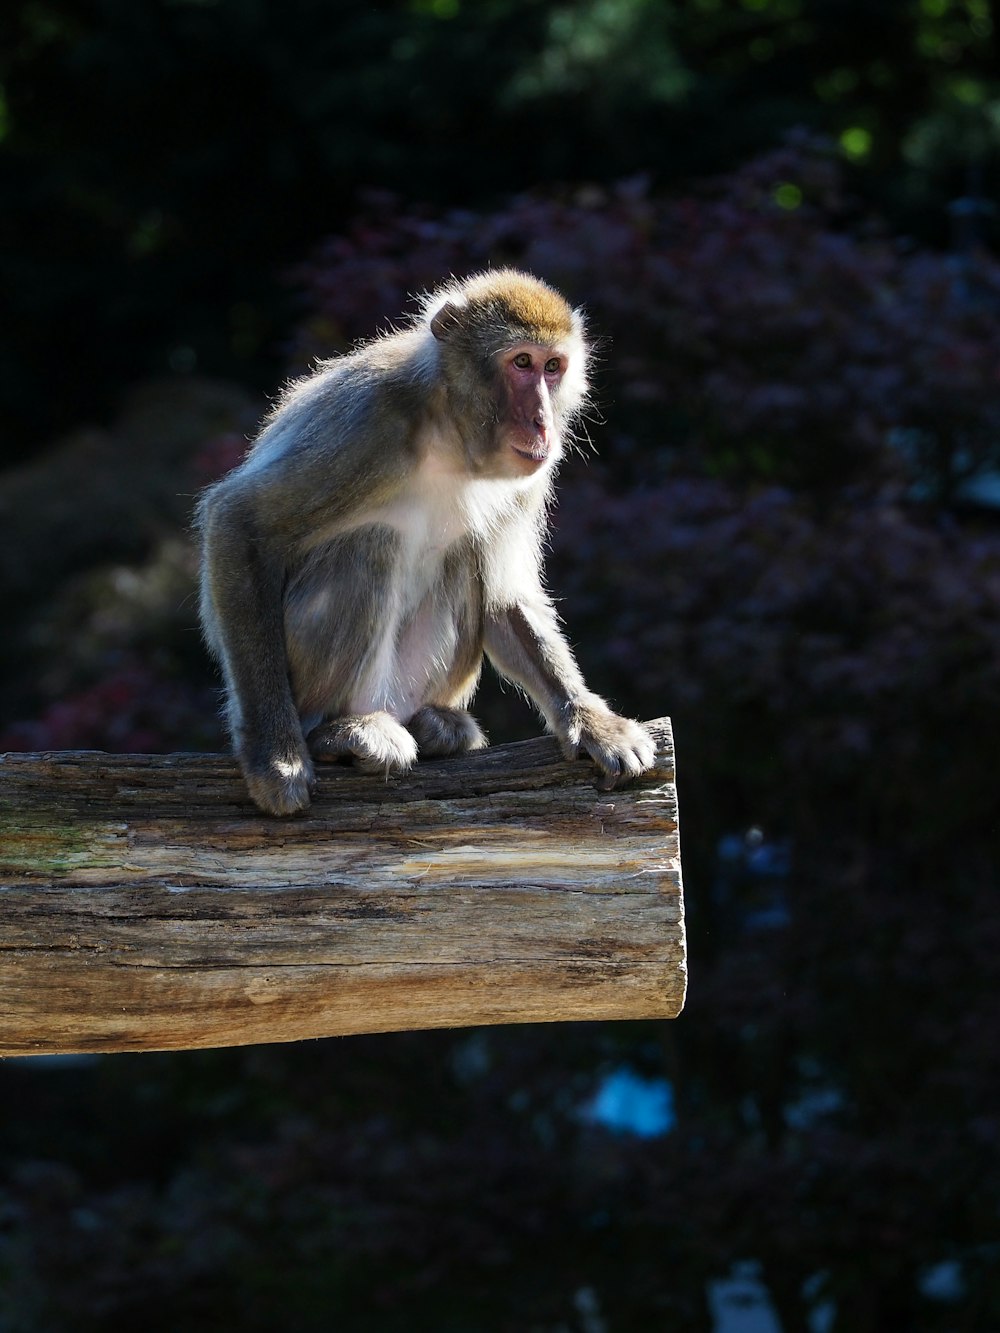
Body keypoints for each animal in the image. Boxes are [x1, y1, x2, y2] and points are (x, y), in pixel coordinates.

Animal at [197, 266, 658, 815]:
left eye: (553, 367)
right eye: (521, 362)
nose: (542, 421)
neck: (450, 434)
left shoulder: (531, 474)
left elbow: (507, 595)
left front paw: (591, 723)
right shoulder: (365, 422)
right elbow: (239, 522)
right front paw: (274, 756)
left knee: (466, 557)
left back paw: (440, 728)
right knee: (368, 547)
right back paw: (336, 734)